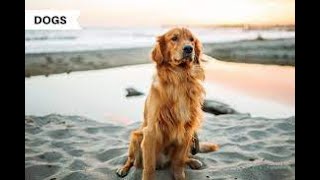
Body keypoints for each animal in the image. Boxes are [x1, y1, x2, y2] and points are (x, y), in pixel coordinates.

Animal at [116, 27, 219, 180]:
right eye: (174, 38)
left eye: (191, 40)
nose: (189, 49)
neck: (179, 78)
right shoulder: (151, 132)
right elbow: (149, 167)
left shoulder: (187, 130)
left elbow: (178, 163)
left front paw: (180, 176)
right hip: (136, 137)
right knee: (131, 160)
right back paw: (123, 169)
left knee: (183, 158)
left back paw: (193, 161)